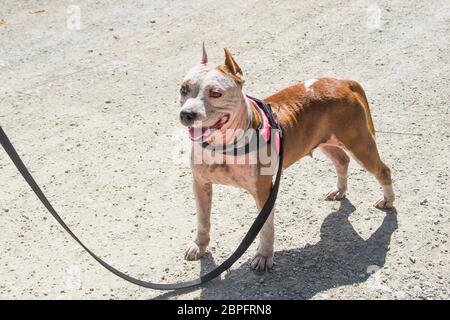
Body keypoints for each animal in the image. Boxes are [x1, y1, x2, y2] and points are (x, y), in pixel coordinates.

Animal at [178, 44, 396, 270]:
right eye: (183, 89)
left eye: (215, 93)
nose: (186, 114)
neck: (223, 146)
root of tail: (342, 82)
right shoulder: (200, 184)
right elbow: (203, 219)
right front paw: (199, 245)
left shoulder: (264, 192)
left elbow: (265, 227)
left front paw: (264, 255)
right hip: (323, 140)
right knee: (342, 160)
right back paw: (340, 190)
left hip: (360, 144)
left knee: (383, 170)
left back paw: (387, 200)